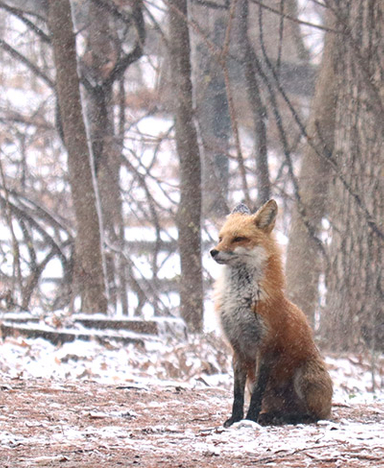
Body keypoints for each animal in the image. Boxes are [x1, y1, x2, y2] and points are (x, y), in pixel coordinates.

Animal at [212, 199, 332, 426]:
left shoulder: (266, 345)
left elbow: (258, 392)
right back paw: (272, 416)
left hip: (305, 377)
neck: (240, 300)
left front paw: (250, 419)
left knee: (312, 415)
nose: (213, 251)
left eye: (238, 238)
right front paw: (235, 419)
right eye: (220, 238)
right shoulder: (237, 347)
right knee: (279, 408)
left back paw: (288, 418)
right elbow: (237, 393)